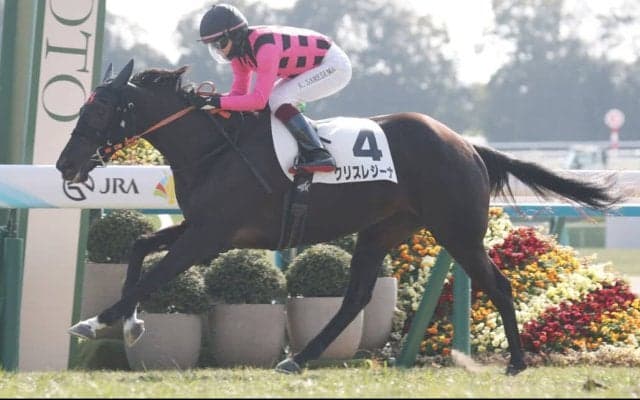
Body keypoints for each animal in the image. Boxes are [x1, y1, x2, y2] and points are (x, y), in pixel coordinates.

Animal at [55, 60, 622, 375]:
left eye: (98, 110)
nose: (65, 164)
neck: (215, 149)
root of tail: (466, 144)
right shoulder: (200, 228)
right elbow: (137, 250)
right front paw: (128, 325)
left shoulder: (212, 236)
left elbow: (154, 275)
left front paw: (97, 321)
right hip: (383, 230)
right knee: (354, 299)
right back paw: (297, 358)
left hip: (457, 231)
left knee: (499, 286)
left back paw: (517, 363)